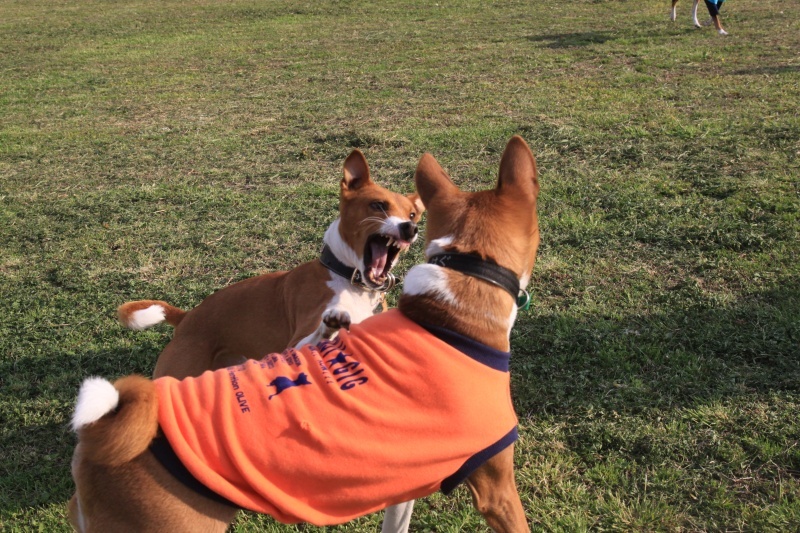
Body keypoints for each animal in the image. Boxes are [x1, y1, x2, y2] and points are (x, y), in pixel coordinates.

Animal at [117, 148, 424, 380]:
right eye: (378, 205)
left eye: (412, 214)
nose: (410, 228)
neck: (348, 278)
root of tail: (186, 317)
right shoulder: (295, 342)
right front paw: (330, 327)